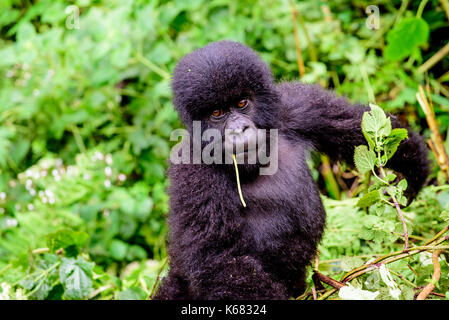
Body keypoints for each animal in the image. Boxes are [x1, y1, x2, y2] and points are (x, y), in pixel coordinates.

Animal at [153, 40, 428, 300]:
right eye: (217, 113)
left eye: (242, 103)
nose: (238, 130)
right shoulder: (193, 172)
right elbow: (219, 260)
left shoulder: (297, 106)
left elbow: (359, 129)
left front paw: (414, 169)